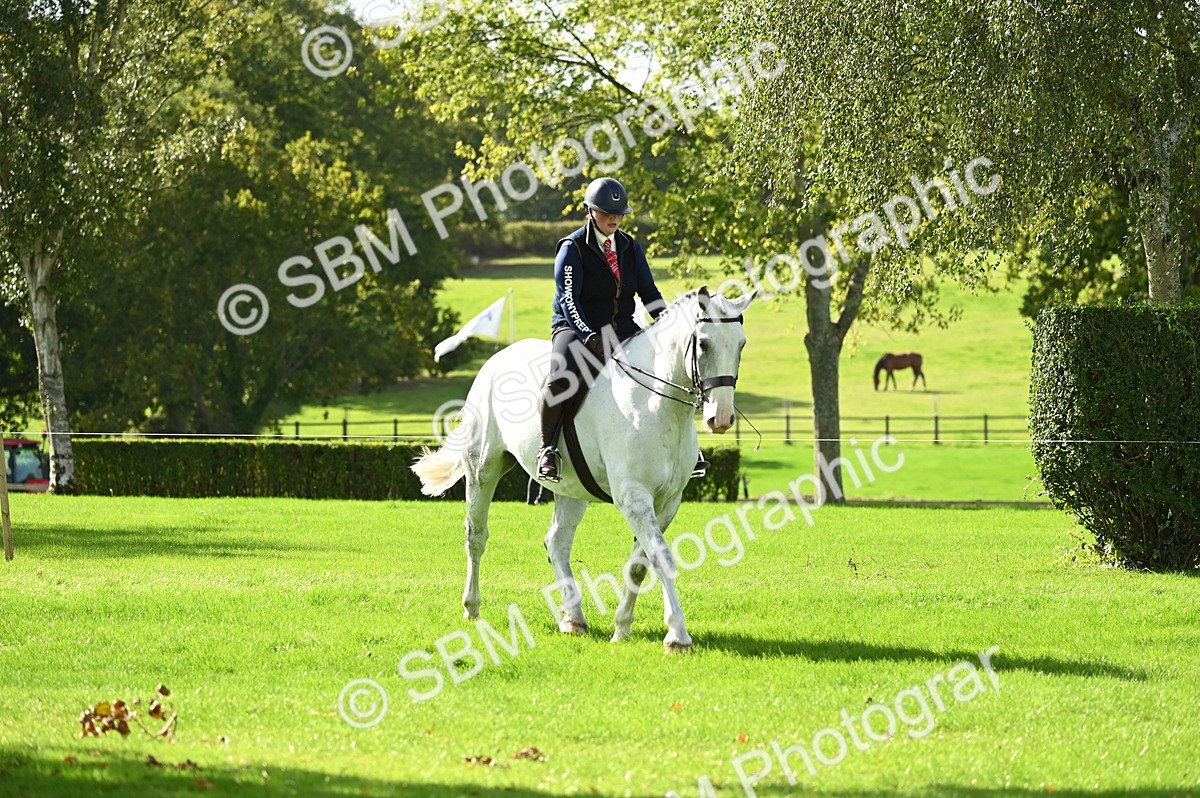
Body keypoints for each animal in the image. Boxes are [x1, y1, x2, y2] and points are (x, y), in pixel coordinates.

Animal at [412, 287, 755, 652]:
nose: (721, 419)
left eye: (741, 344)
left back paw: (573, 618)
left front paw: (622, 627)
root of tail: (496, 360)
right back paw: (472, 608)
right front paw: (677, 635)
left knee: (557, 543)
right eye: (703, 343)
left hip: (570, 488)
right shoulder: (634, 497)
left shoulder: (667, 501)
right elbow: (661, 557)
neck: (656, 405)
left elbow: (640, 564)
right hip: (483, 470)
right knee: (476, 536)